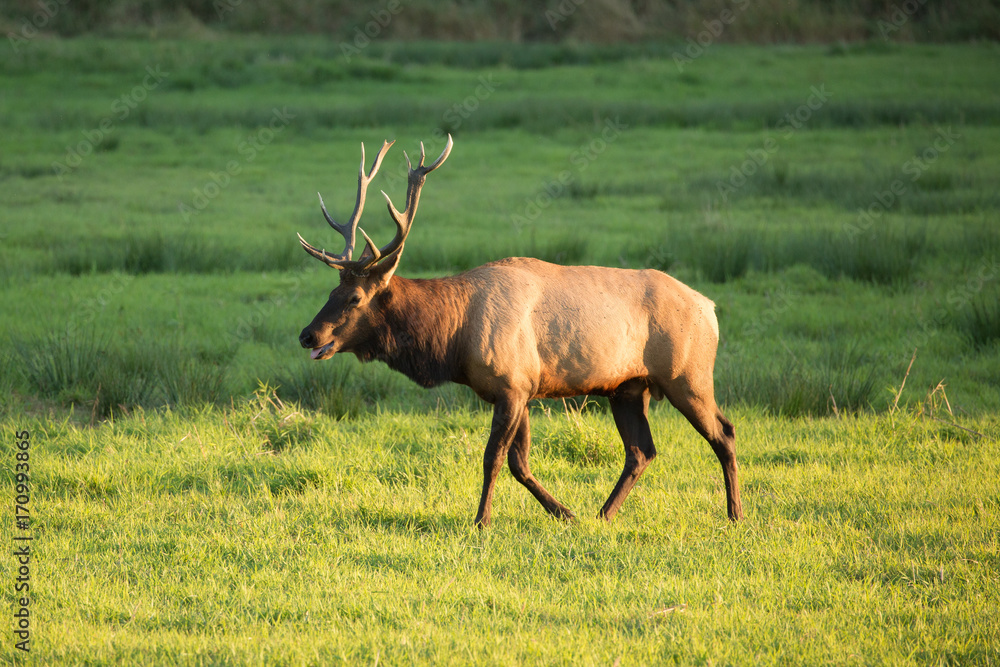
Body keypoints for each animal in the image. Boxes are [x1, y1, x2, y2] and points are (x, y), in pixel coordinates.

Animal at [296, 135, 743, 526]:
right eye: (332, 291)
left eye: (354, 298)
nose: (308, 335)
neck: (454, 341)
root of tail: (710, 307)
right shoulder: (521, 389)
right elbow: (519, 464)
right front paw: (565, 513)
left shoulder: (512, 384)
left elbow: (493, 458)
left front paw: (481, 521)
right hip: (628, 387)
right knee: (641, 451)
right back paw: (603, 514)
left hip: (687, 375)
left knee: (723, 432)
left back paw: (735, 514)